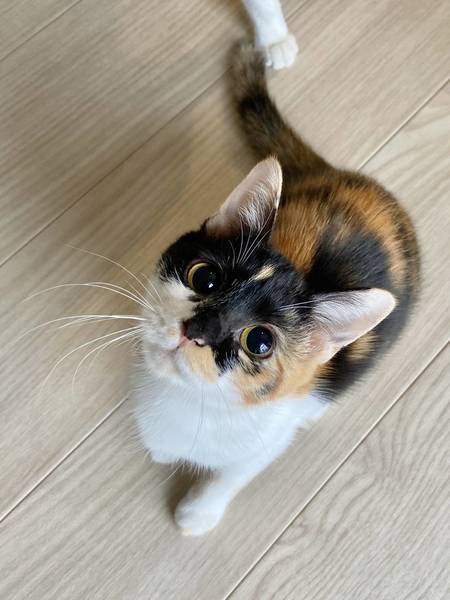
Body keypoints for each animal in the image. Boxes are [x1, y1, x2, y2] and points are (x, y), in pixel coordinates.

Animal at [131, 44, 419, 536]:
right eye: (204, 278)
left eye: (260, 342)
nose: (198, 330)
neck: (194, 401)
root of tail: (355, 180)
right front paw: (163, 448)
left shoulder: (264, 441)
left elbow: (233, 474)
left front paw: (198, 512)